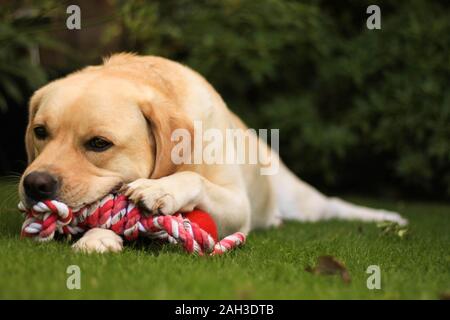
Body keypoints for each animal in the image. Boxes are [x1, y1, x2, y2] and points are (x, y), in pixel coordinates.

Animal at [19, 53, 406, 254]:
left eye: (99, 143)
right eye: (40, 132)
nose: (35, 184)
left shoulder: (237, 205)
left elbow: (192, 177)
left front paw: (161, 189)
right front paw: (99, 238)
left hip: (300, 199)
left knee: (334, 204)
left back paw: (389, 217)